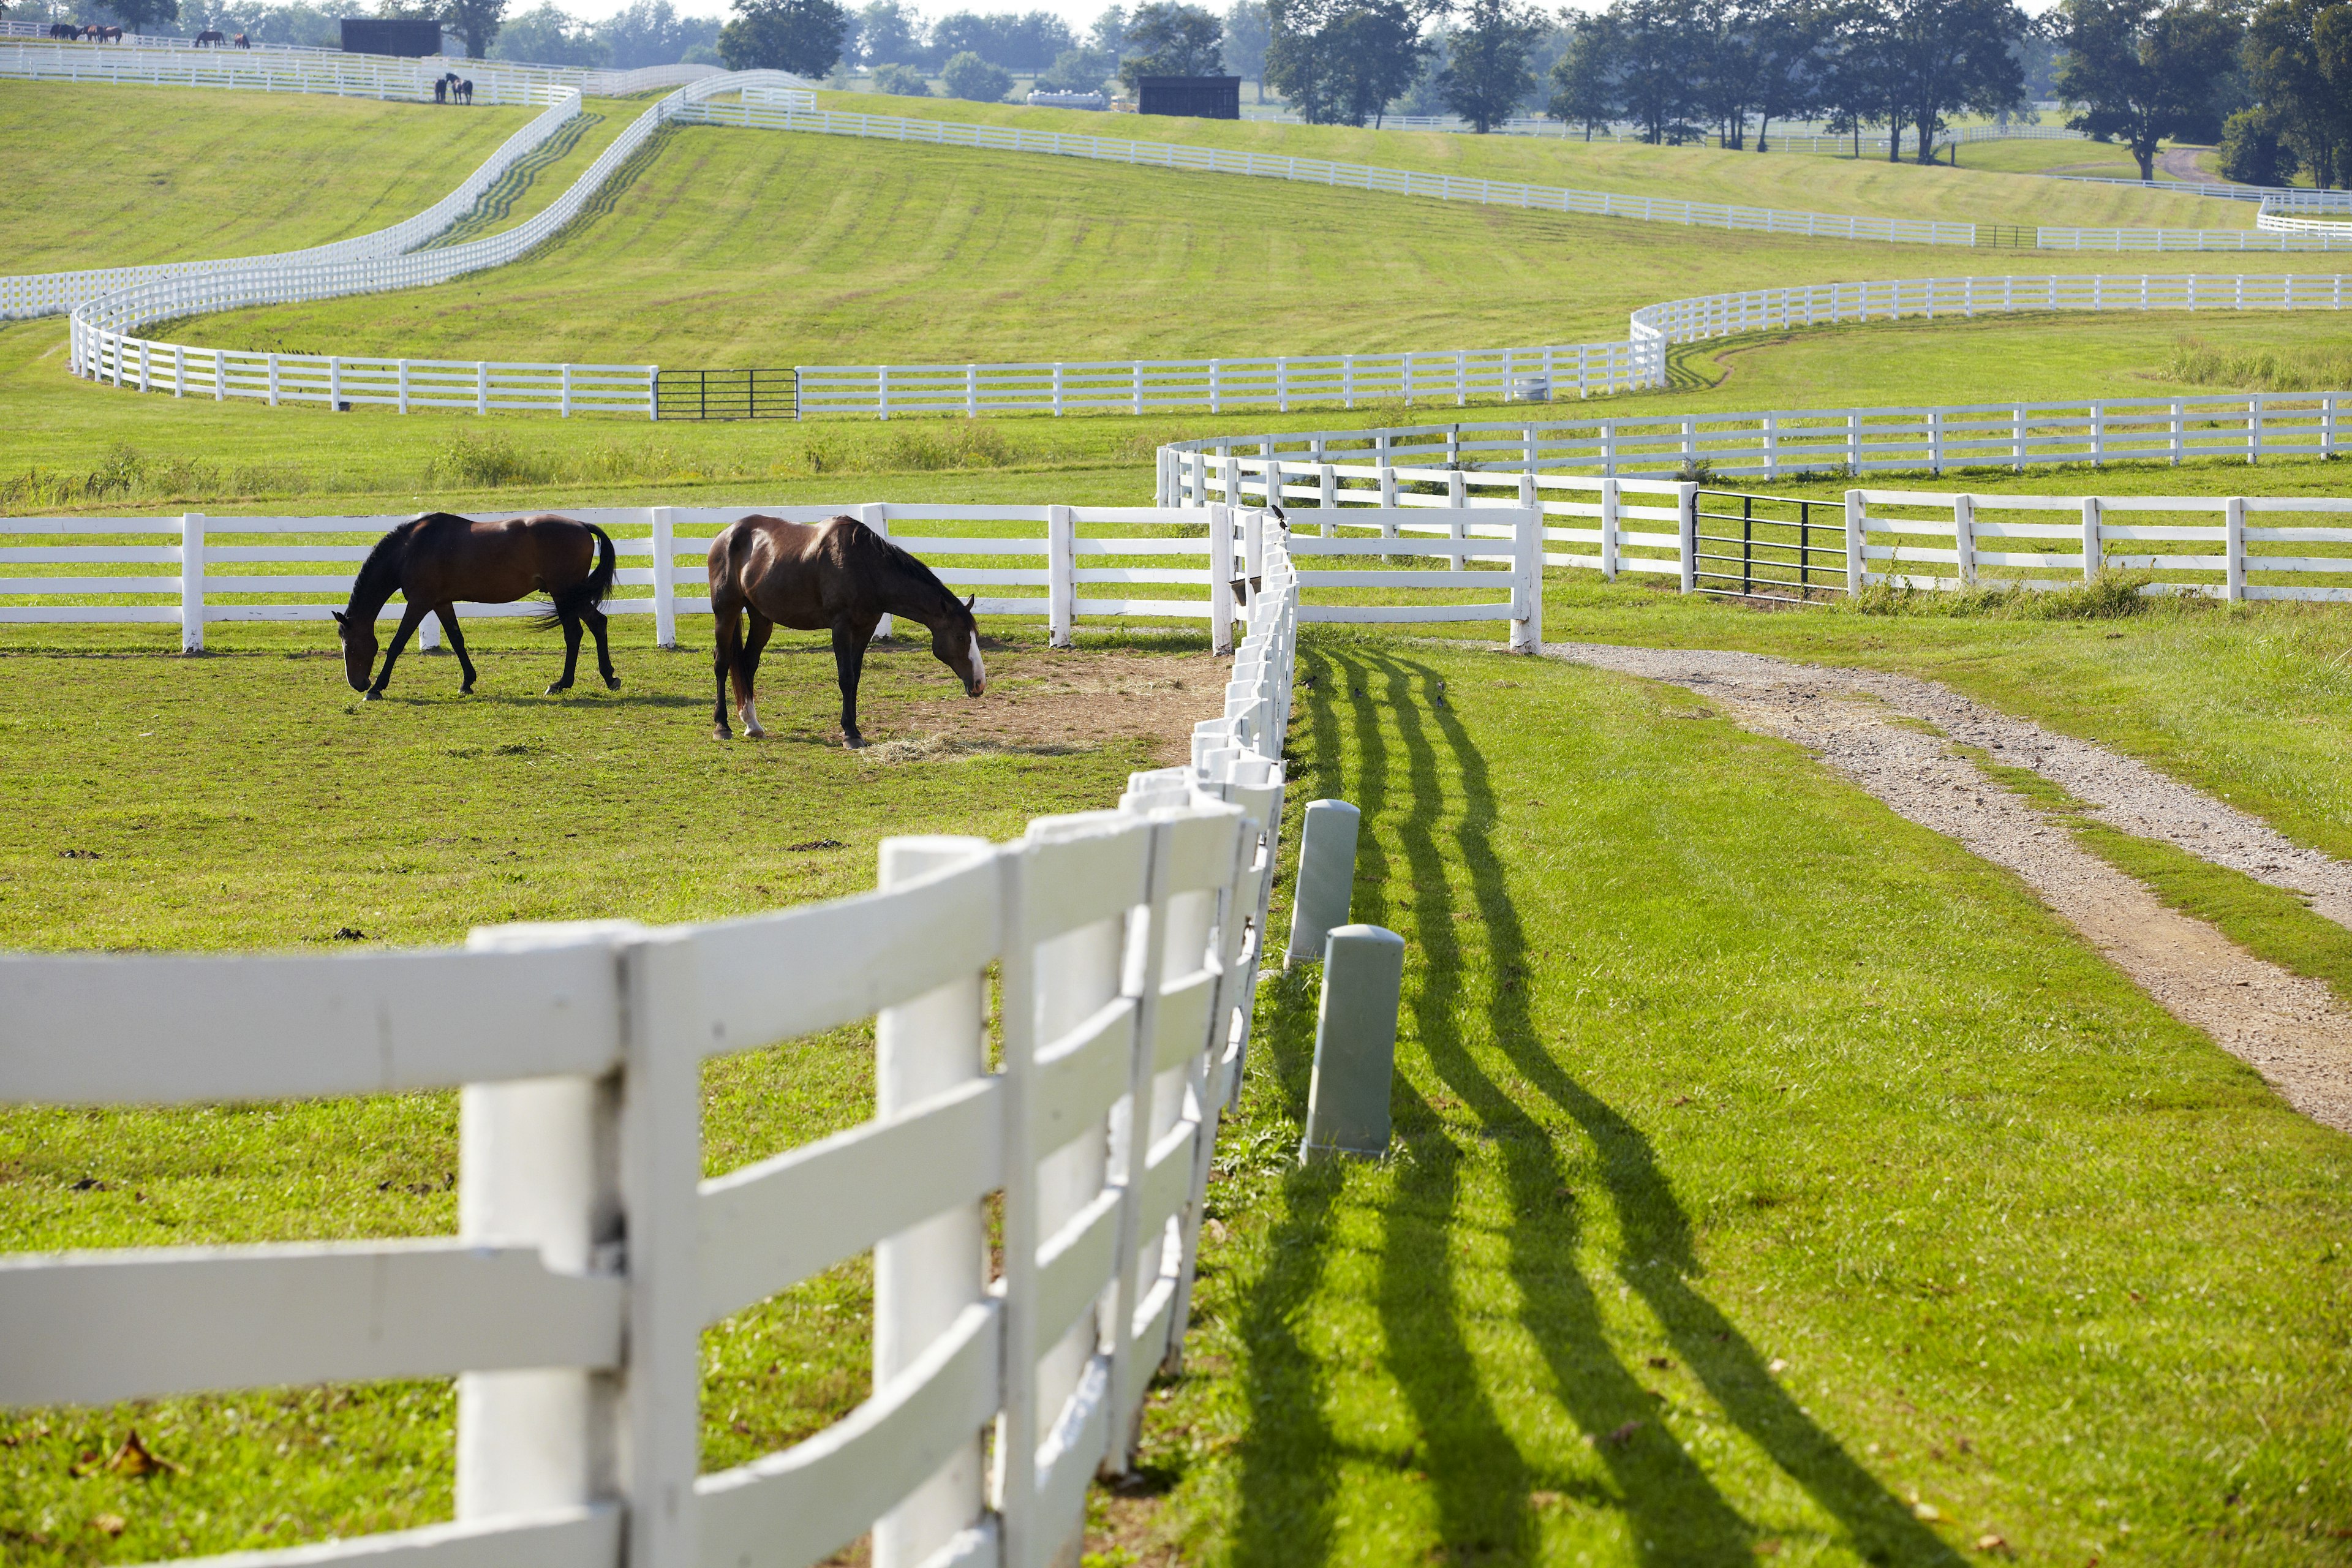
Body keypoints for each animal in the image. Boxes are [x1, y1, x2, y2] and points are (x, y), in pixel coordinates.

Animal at [336, 514, 625, 700]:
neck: (410, 549)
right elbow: (457, 640)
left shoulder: (419, 603)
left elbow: (397, 643)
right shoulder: (441, 603)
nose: (358, 684)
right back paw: (607, 677)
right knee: (596, 624)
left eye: (350, 646)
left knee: (575, 633)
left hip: (564, 594)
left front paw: (377, 688)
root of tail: (582, 525)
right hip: (570, 595)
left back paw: (563, 684)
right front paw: (467, 682)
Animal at [706, 514, 983, 747]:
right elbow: (845, 678)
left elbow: (855, 678)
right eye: (960, 636)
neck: (866, 568)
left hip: (762, 618)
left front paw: (854, 729)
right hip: (726, 612)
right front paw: (850, 734)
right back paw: (722, 726)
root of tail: (726, 534)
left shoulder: (864, 630)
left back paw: (752, 724)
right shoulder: (841, 628)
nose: (979, 684)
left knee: (748, 662)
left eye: (974, 637)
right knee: (722, 662)